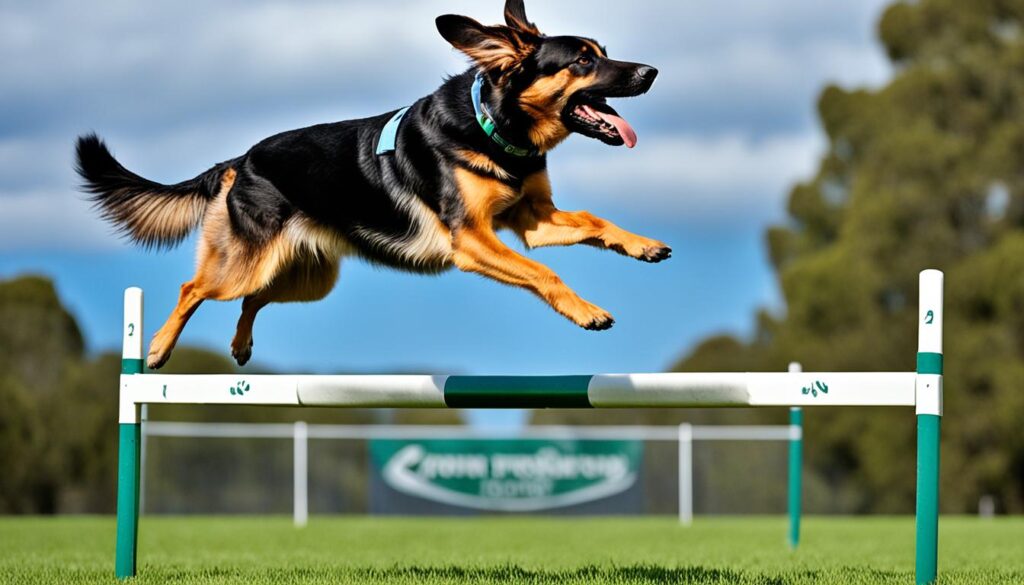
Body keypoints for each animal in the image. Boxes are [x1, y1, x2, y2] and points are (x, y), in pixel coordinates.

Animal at [75, 1, 667, 370]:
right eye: (583, 60)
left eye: (602, 51)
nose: (652, 73)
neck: (495, 124)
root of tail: (240, 161)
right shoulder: (472, 241)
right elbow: (546, 273)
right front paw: (587, 311)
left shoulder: (532, 222)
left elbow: (593, 221)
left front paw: (642, 245)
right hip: (244, 264)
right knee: (194, 288)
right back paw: (157, 349)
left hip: (306, 277)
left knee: (254, 300)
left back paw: (241, 347)